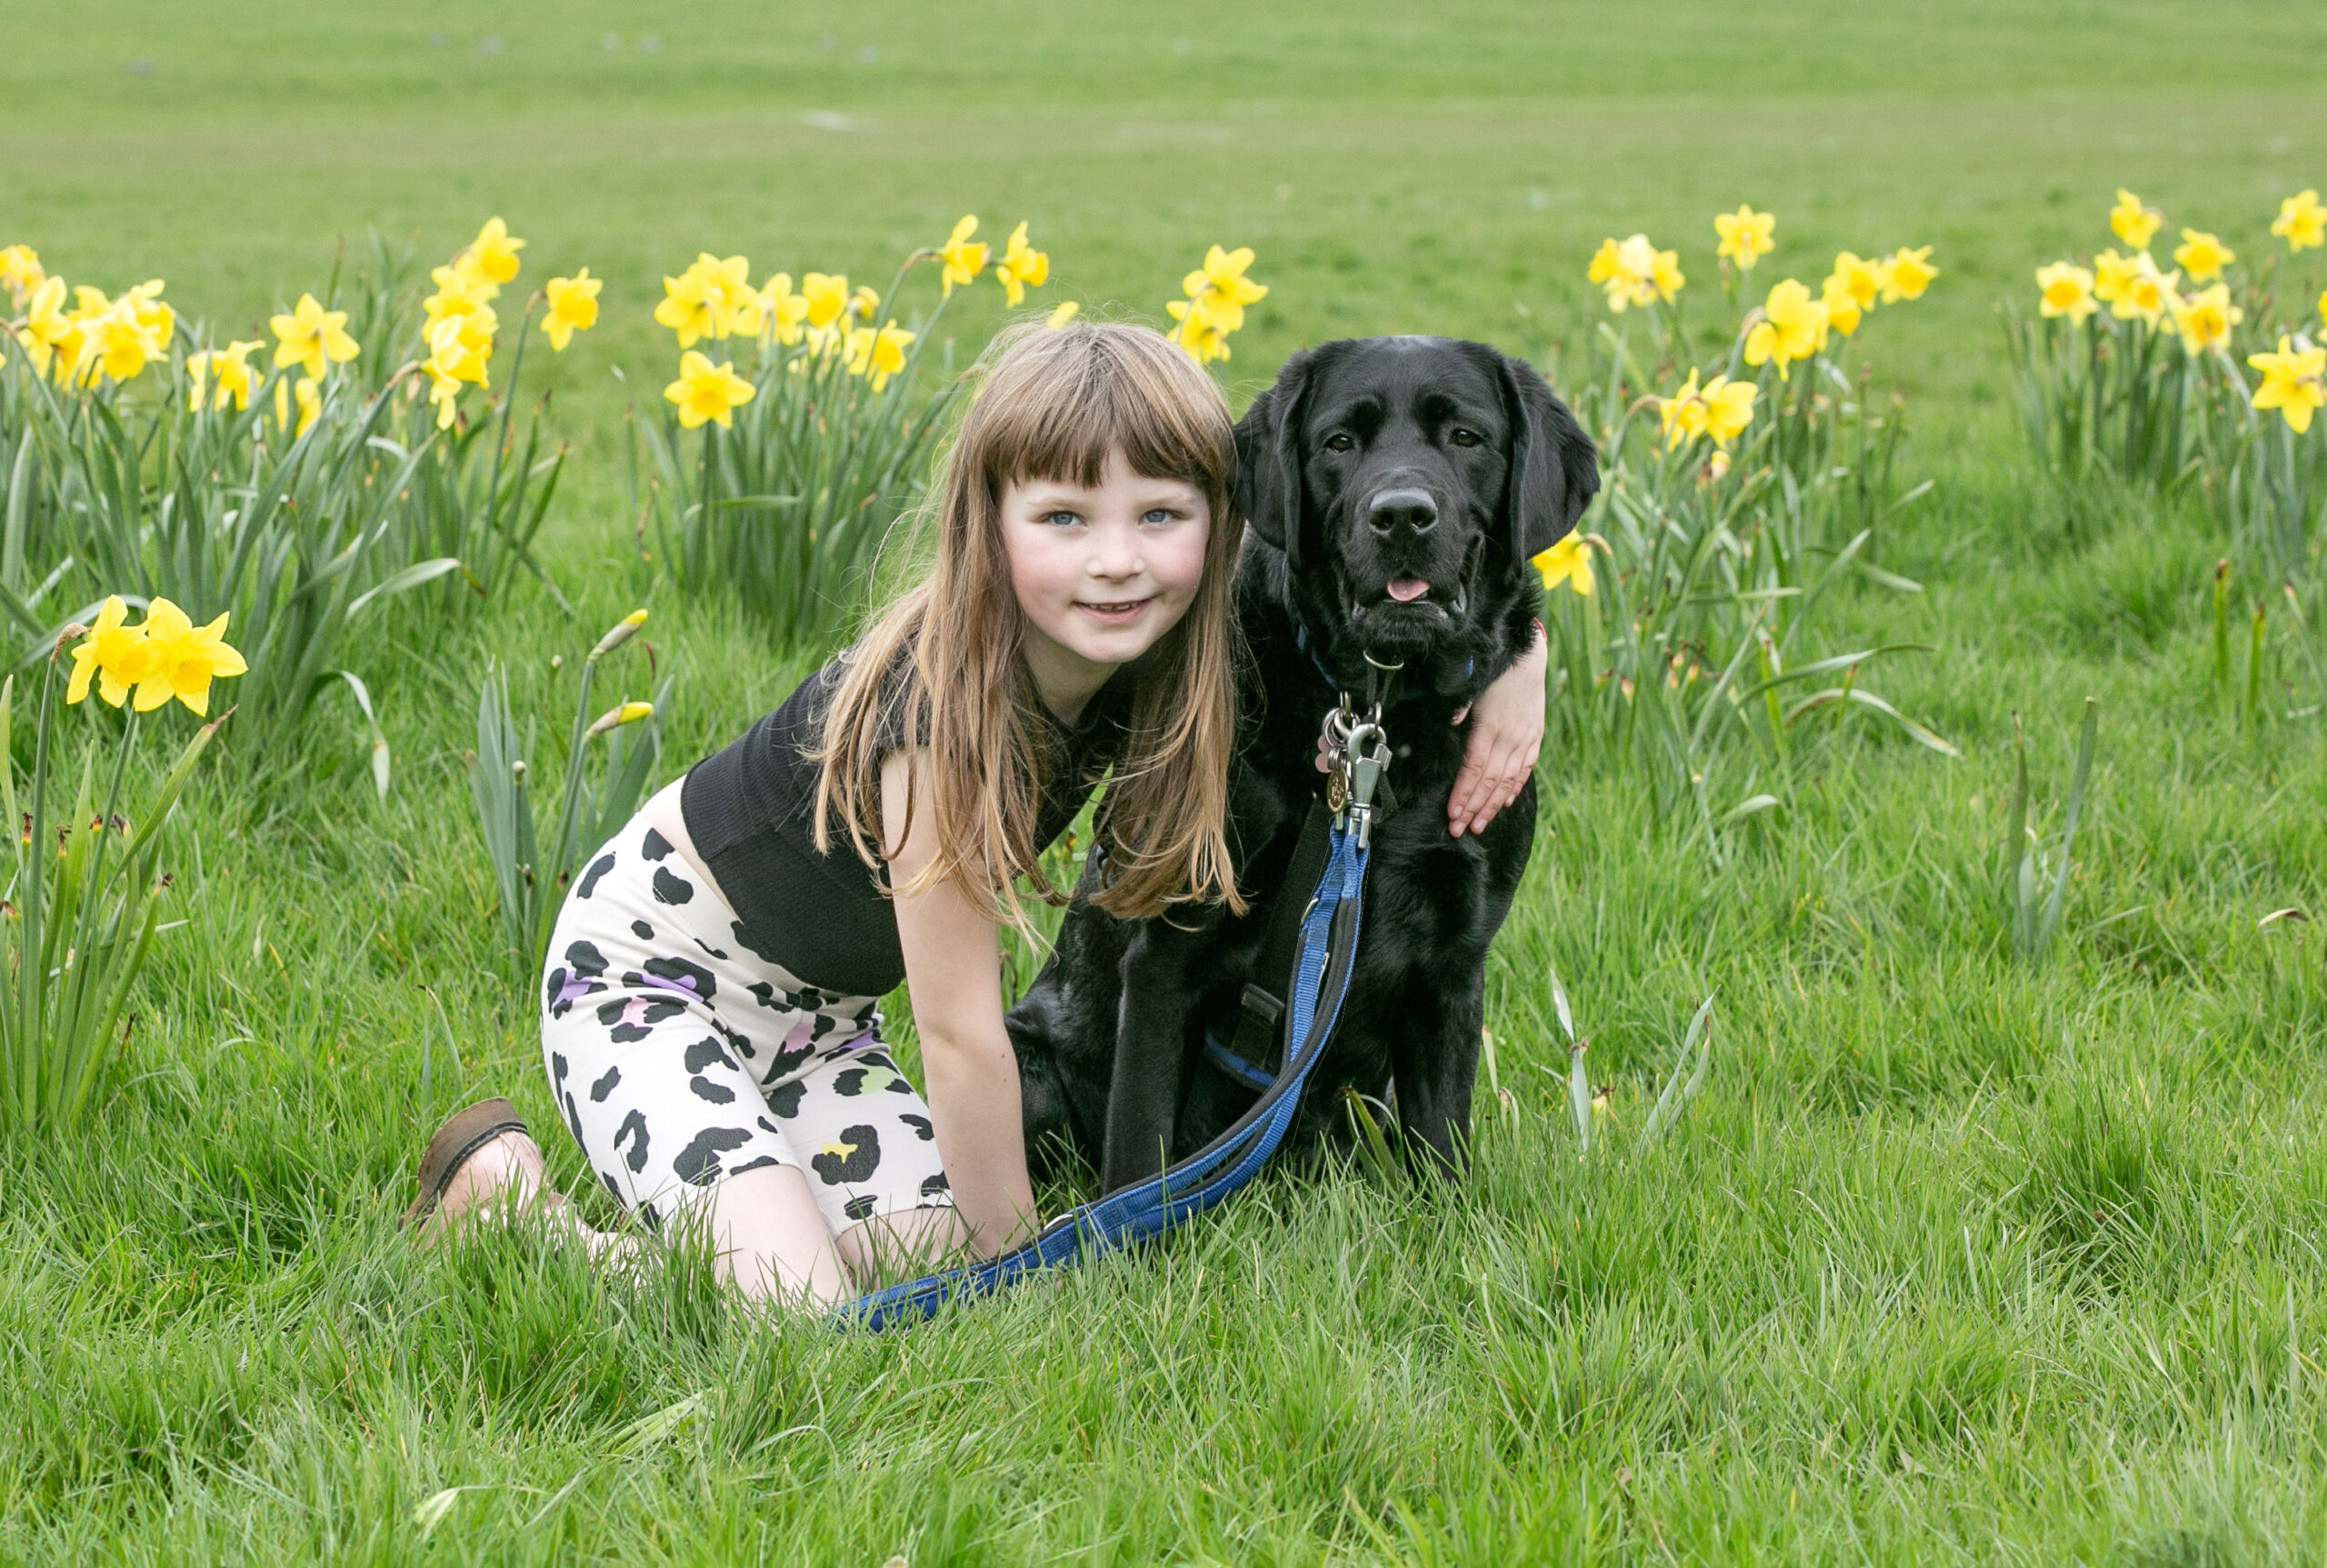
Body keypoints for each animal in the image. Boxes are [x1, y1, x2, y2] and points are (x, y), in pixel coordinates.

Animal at [1010, 332, 1610, 1186]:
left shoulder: (1456, 960)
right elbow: (1138, 1146)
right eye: (1339, 442)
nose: (1401, 514)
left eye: (1466, 437)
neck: (1382, 720)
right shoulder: (1168, 949)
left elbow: (1443, 1145)